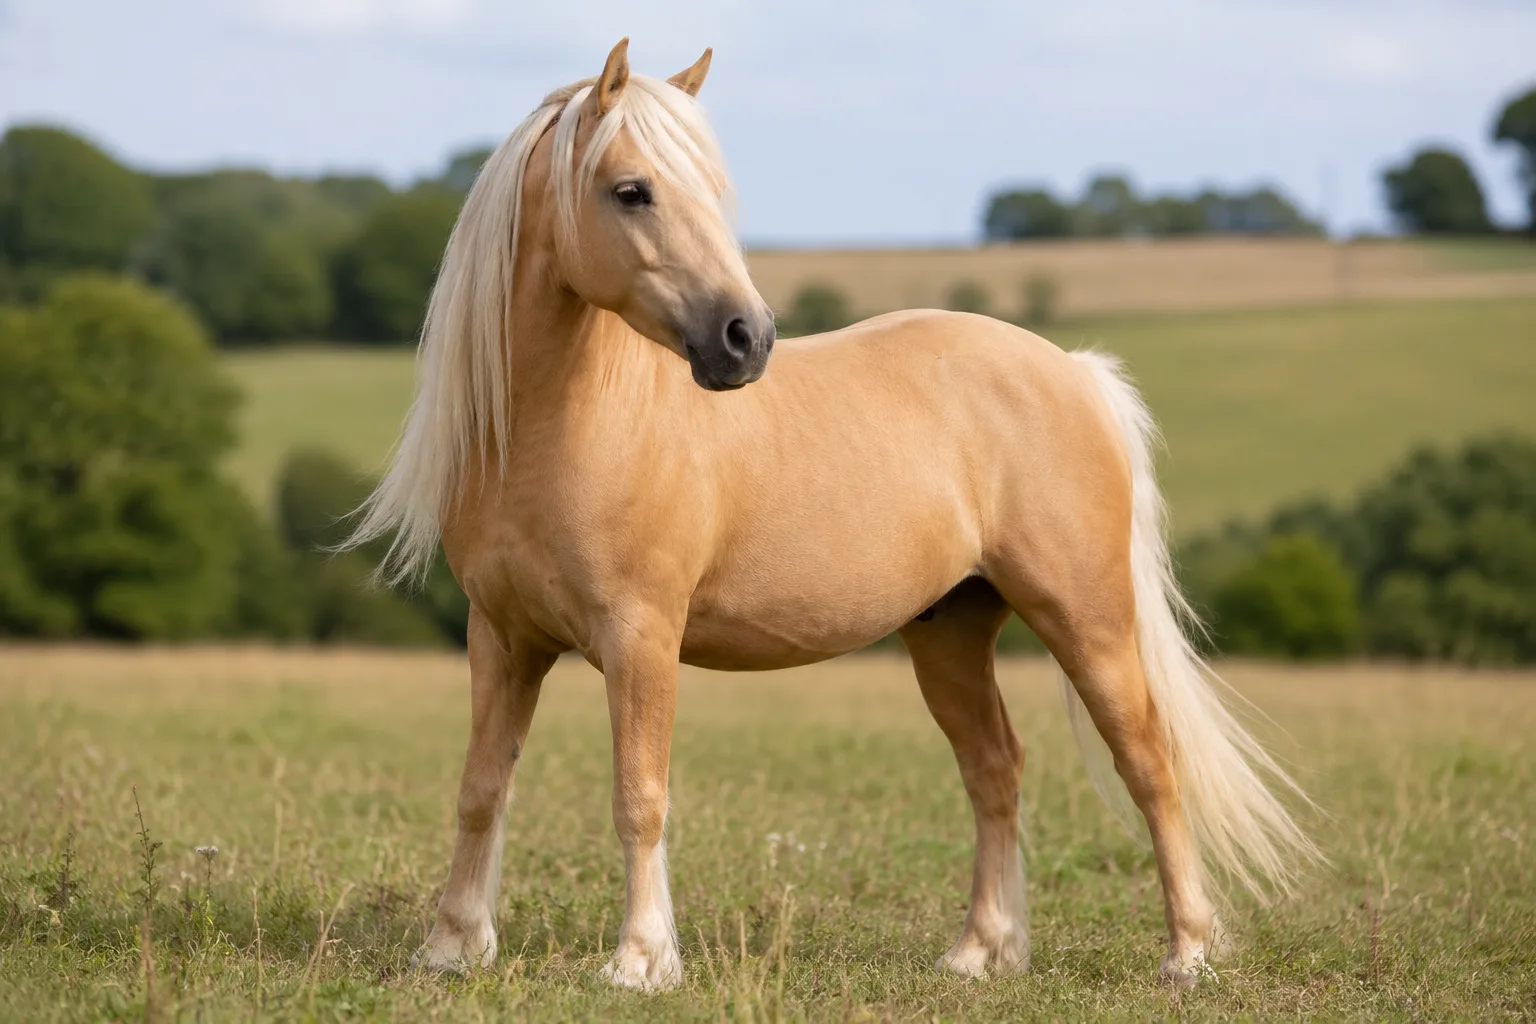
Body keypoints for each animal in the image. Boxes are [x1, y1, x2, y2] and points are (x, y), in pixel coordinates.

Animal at [342, 39, 1317, 991]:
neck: (565, 428)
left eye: (712, 189)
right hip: (951, 632)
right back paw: (980, 953)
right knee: (994, 770)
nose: (746, 339)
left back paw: (1188, 953)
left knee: (1148, 764)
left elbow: (639, 795)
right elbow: (481, 789)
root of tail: (1072, 370)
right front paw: (452, 946)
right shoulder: (502, 638)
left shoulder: (641, 638)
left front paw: (641, 961)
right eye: (632, 190)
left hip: (1088, 620)